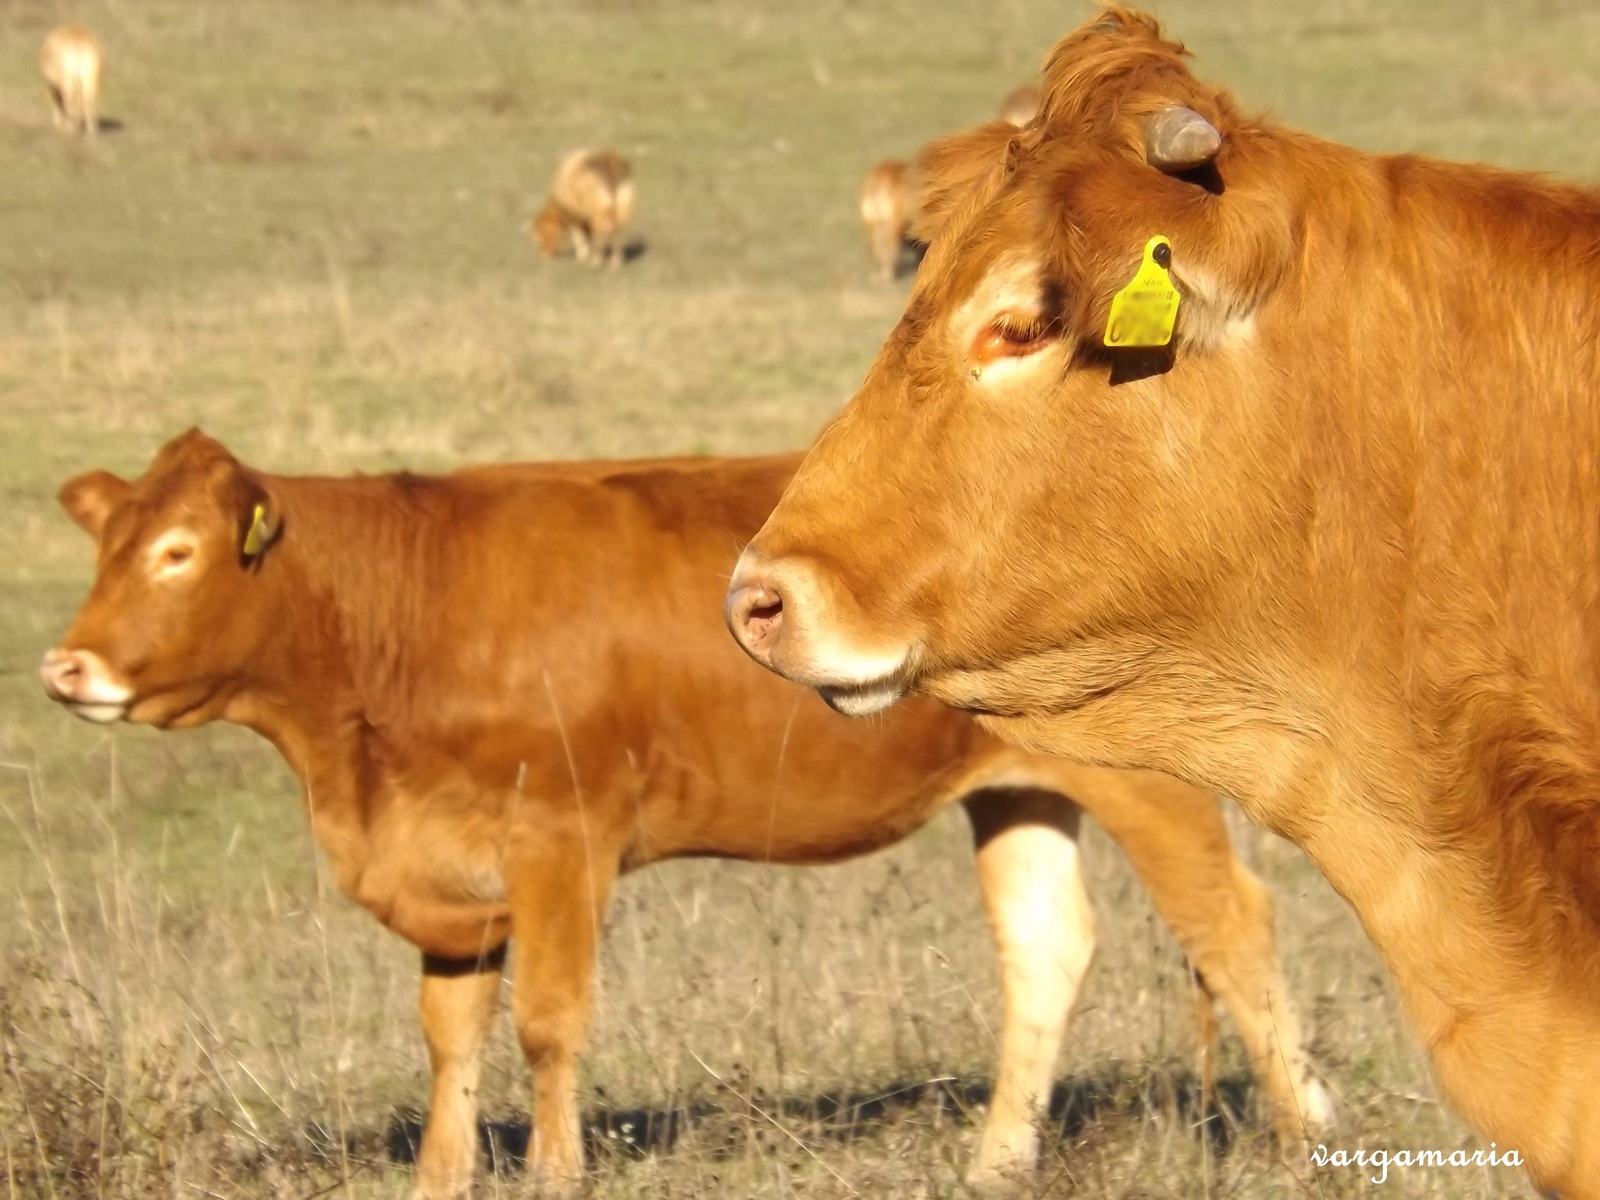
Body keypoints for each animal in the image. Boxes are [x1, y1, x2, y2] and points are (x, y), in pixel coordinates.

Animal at [43, 438, 1331, 1196]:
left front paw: (555, 1173)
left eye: (177, 552)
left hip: (1149, 782)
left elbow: (548, 1024)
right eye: (105, 546)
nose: (65, 667)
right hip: (1021, 787)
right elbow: (450, 1035)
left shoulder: (560, 841)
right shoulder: (445, 866)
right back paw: (996, 1163)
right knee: (1047, 951)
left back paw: (1308, 1136)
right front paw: (439, 1178)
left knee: (1233, 927)